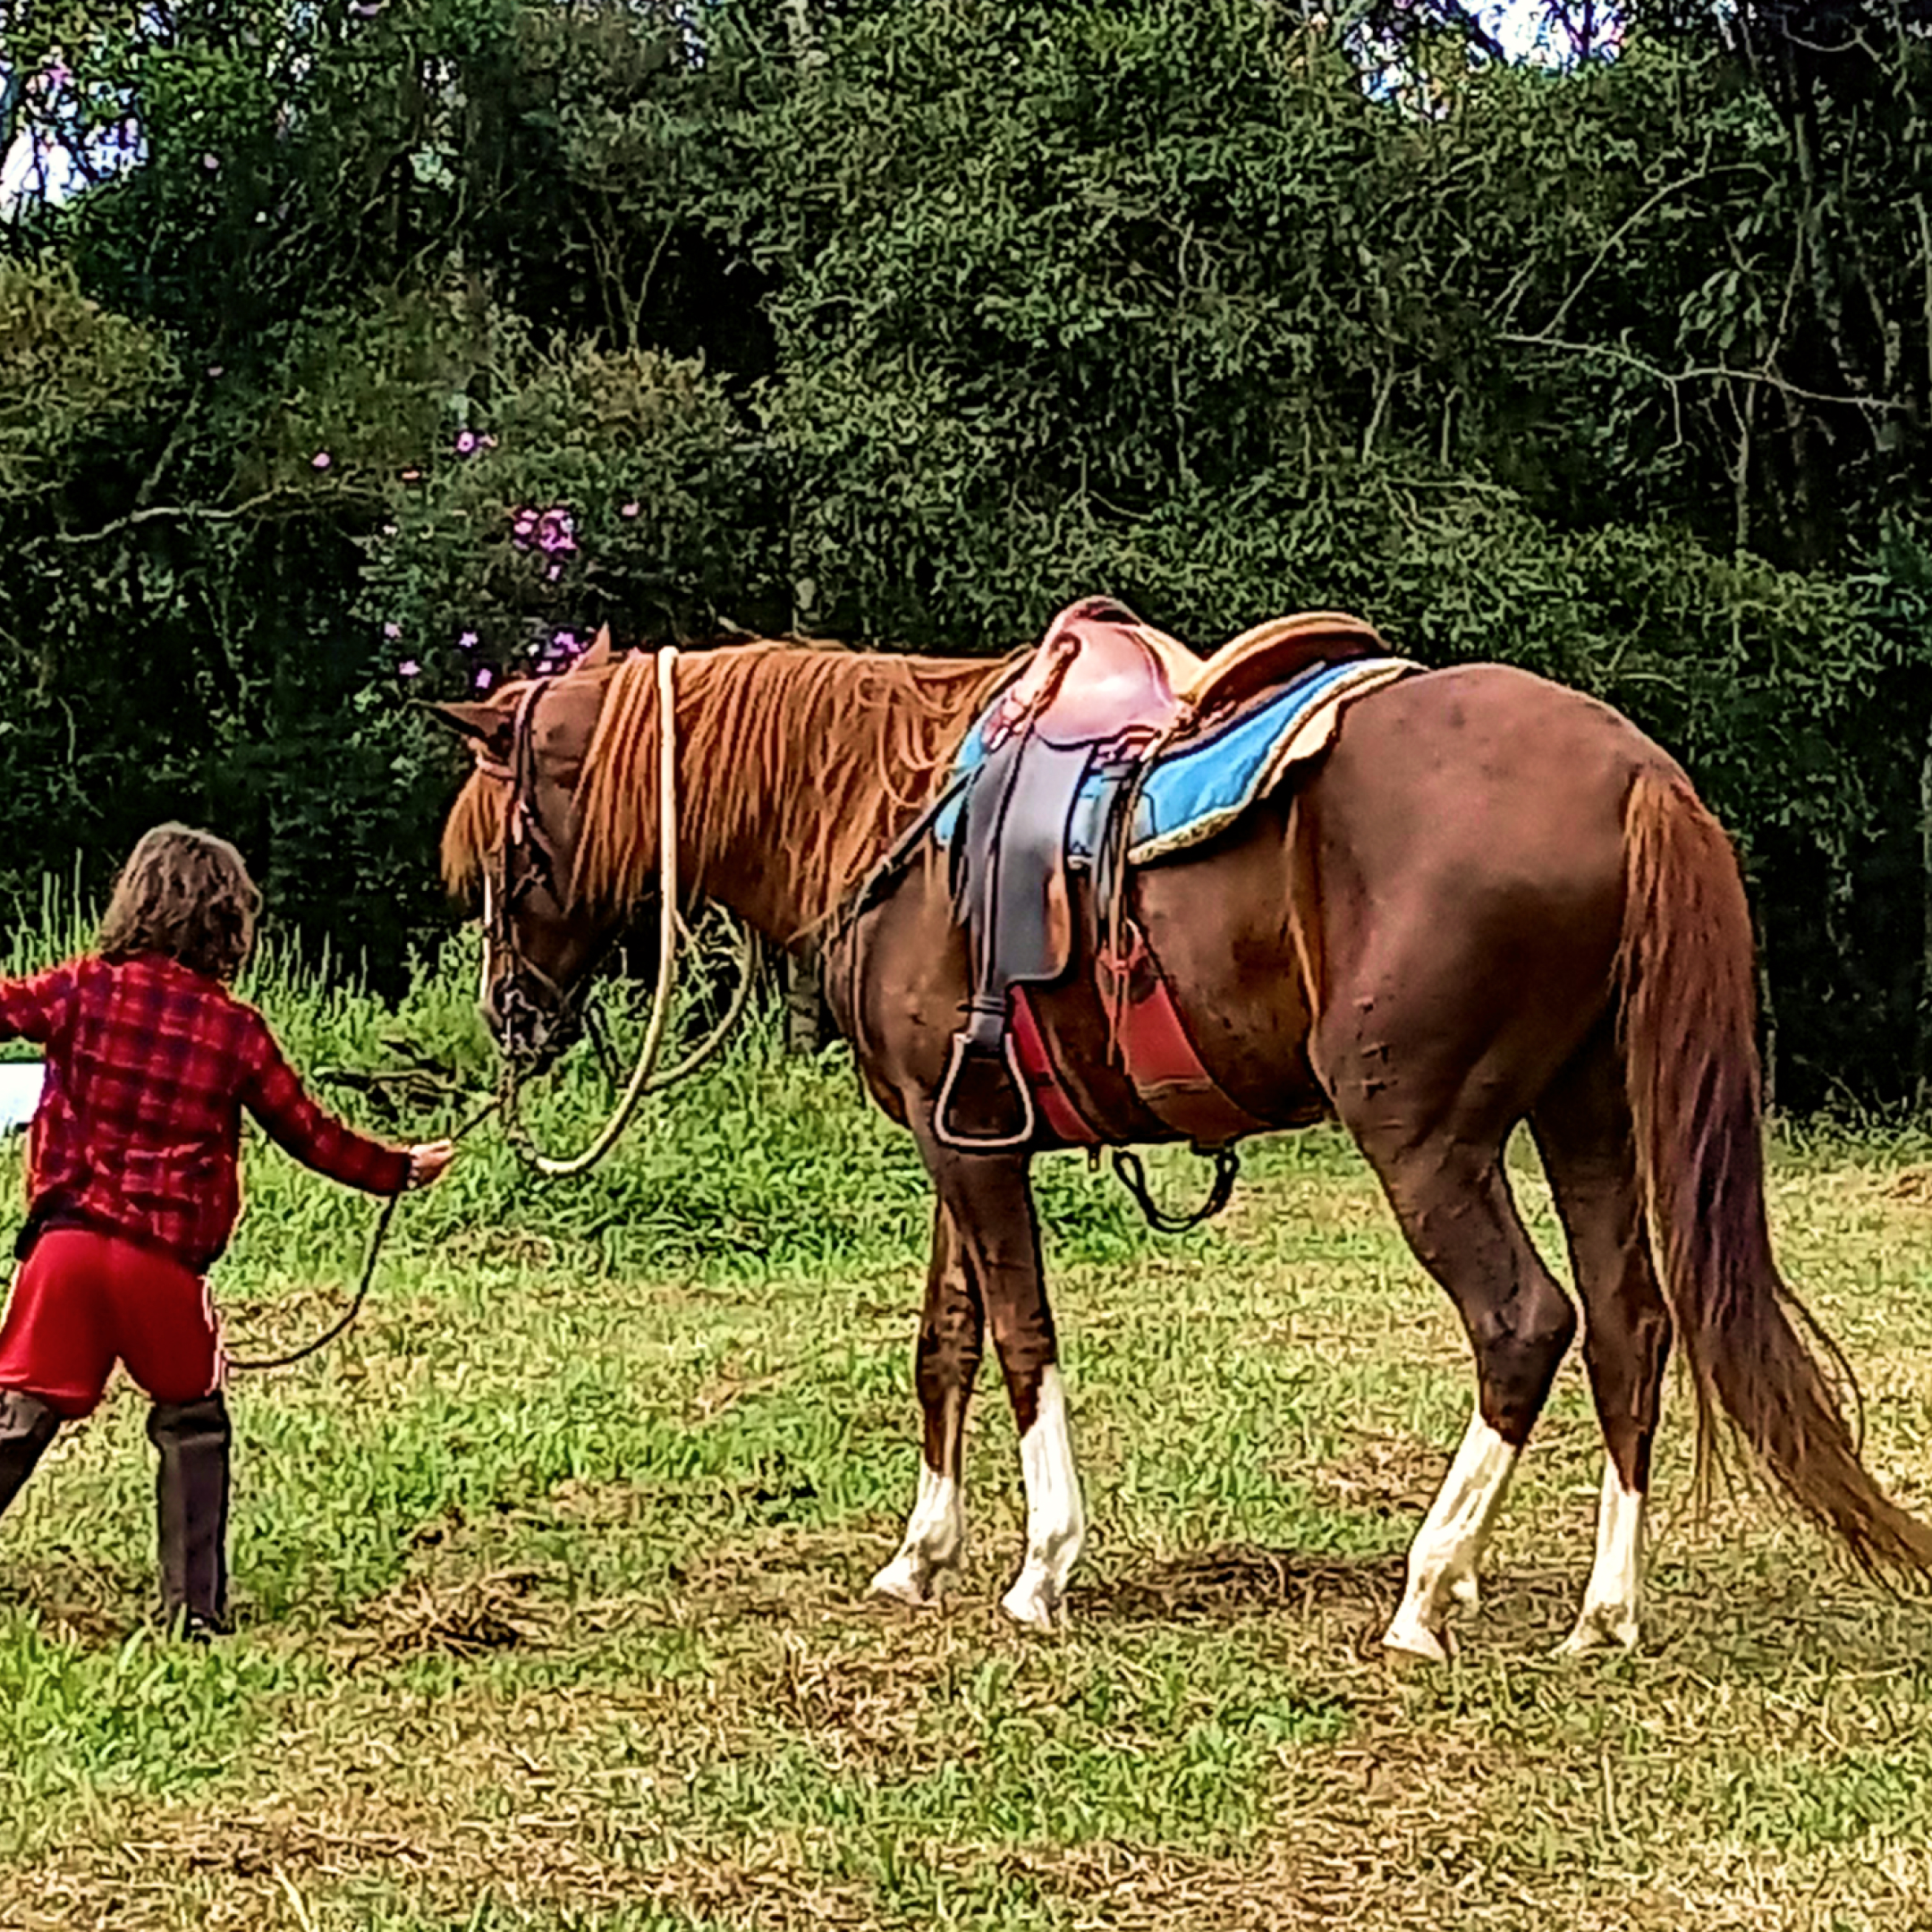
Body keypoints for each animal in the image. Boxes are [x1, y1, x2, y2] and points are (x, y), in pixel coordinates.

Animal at [430, 623, 1932, 1661]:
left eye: (502, 850)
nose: (511, 1013)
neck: (887, 815)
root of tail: (1632, 771)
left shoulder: (972, 1150)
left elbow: (1020, 1337)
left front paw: (1042, 1568)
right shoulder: (958, 1134)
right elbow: (946, 1342)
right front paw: (920, 1557)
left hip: (1424, 1129)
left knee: (1525, 1323)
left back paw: (1427, 1589)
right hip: (1586, 1113)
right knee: (1630, 1323)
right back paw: (1603, 1613)